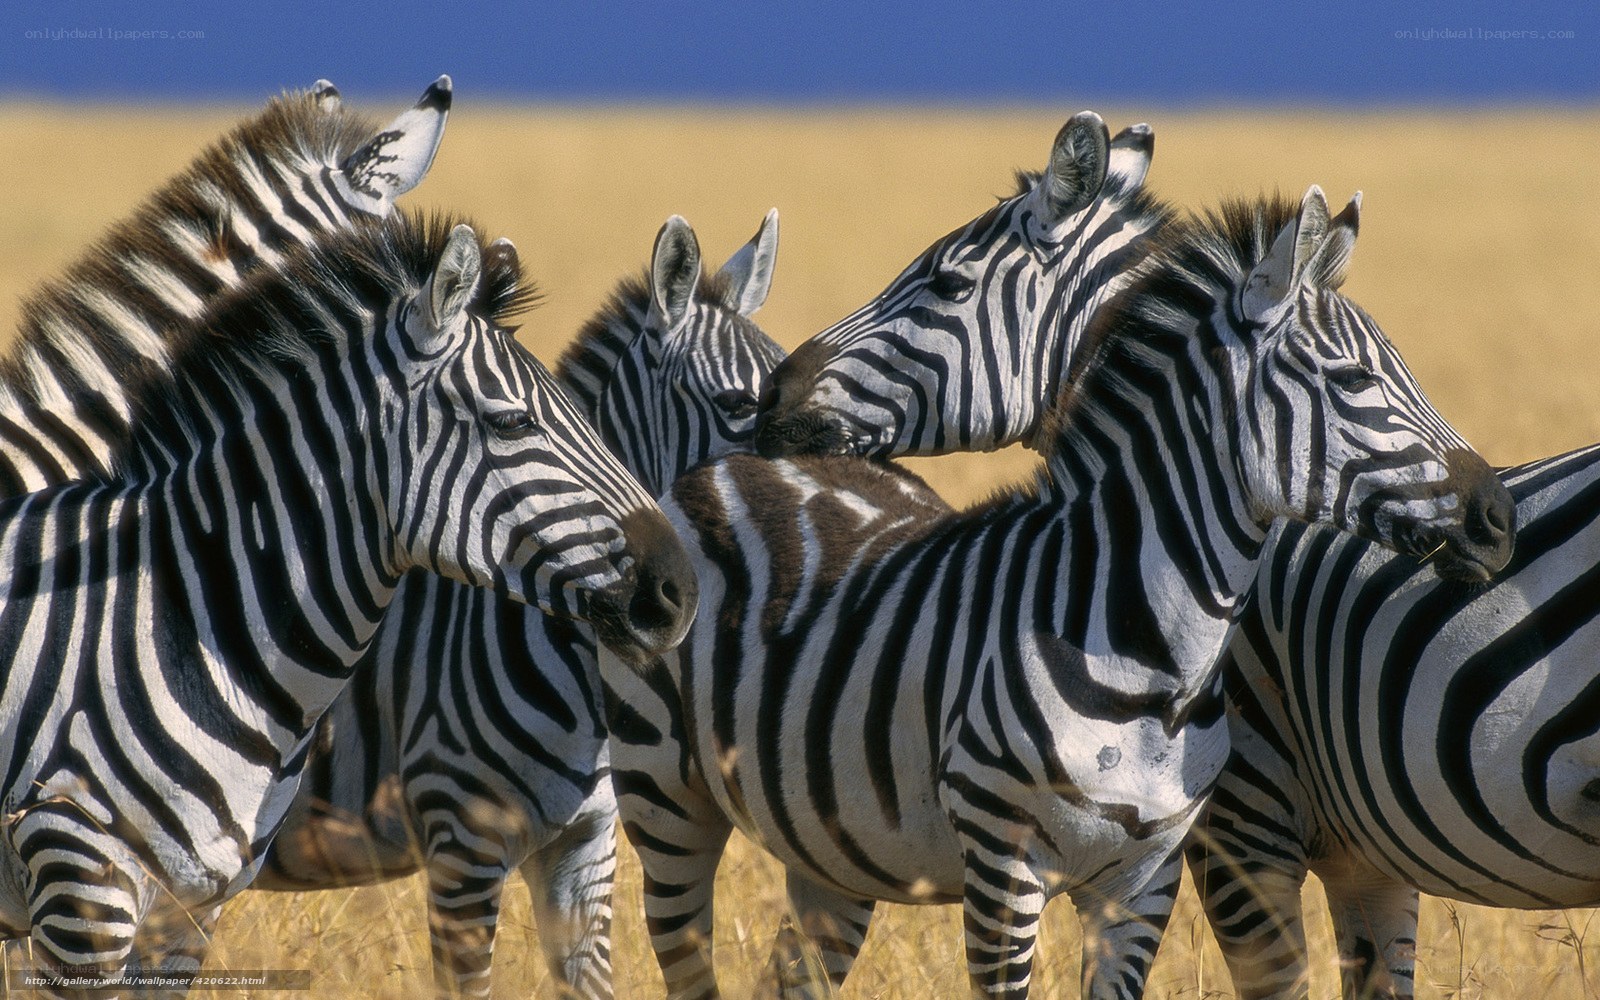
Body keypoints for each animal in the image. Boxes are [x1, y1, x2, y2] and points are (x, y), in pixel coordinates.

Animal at [609, 186, 1516, 999]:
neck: (1154, 659)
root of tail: (724, 461)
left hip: (827, 840)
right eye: (1353, 377)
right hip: (664, 797)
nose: (1498, 517)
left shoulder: (1144, 880)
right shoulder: (1003, 866)